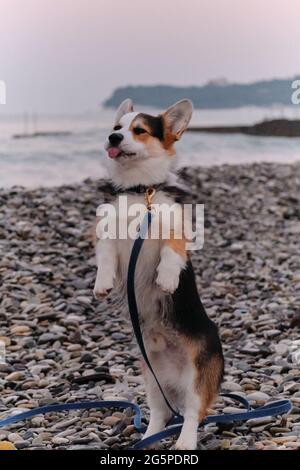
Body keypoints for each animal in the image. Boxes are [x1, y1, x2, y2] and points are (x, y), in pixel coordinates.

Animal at [94, 98, 223, 448]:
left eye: (139, 130)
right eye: (116, 128)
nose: (112, 138)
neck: (141, 190)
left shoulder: (177, 232)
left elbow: (169, 253)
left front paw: (166, 279)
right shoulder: (109, 236)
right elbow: (105, 257)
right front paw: (102, 284)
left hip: (197, 376)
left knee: (192, 413)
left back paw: (185, 441)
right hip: (151, 376)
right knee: (161, 413)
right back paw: (150, 436)